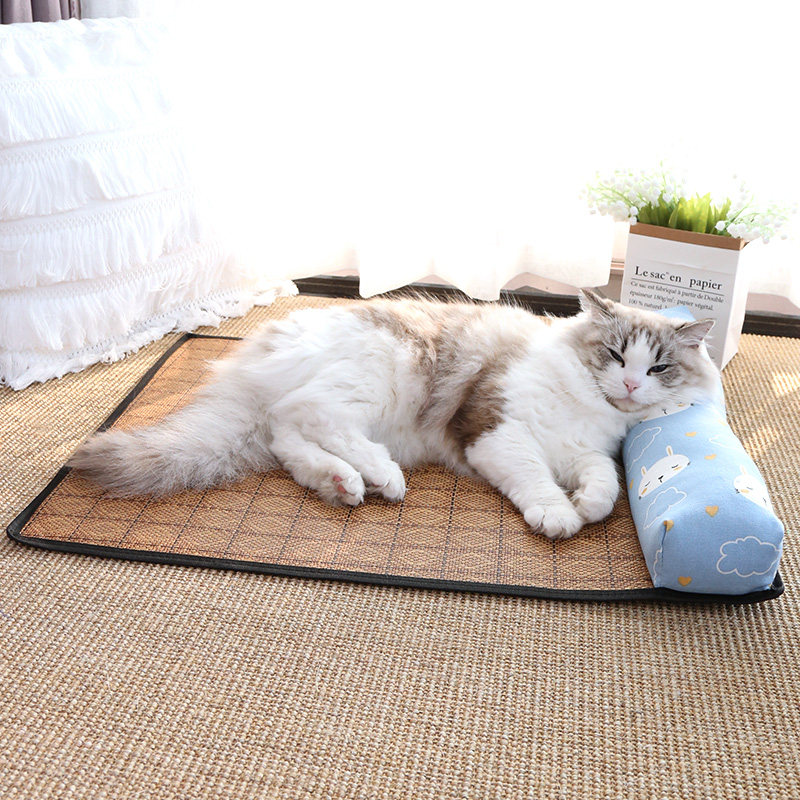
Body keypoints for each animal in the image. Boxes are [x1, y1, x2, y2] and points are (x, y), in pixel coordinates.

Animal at [69, 290, 718, 540]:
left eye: (659, 368)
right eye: (615, 356)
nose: (630, 383)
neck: (584, 407)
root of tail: (259, 350)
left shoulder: (588, 452)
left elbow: (605, 486)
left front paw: (586, 504)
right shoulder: (495, 431)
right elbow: (538, 481)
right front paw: (560, 515)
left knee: (288, 439)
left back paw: (344, 483)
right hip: (378, 379)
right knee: (310, 414)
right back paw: (381, 477)